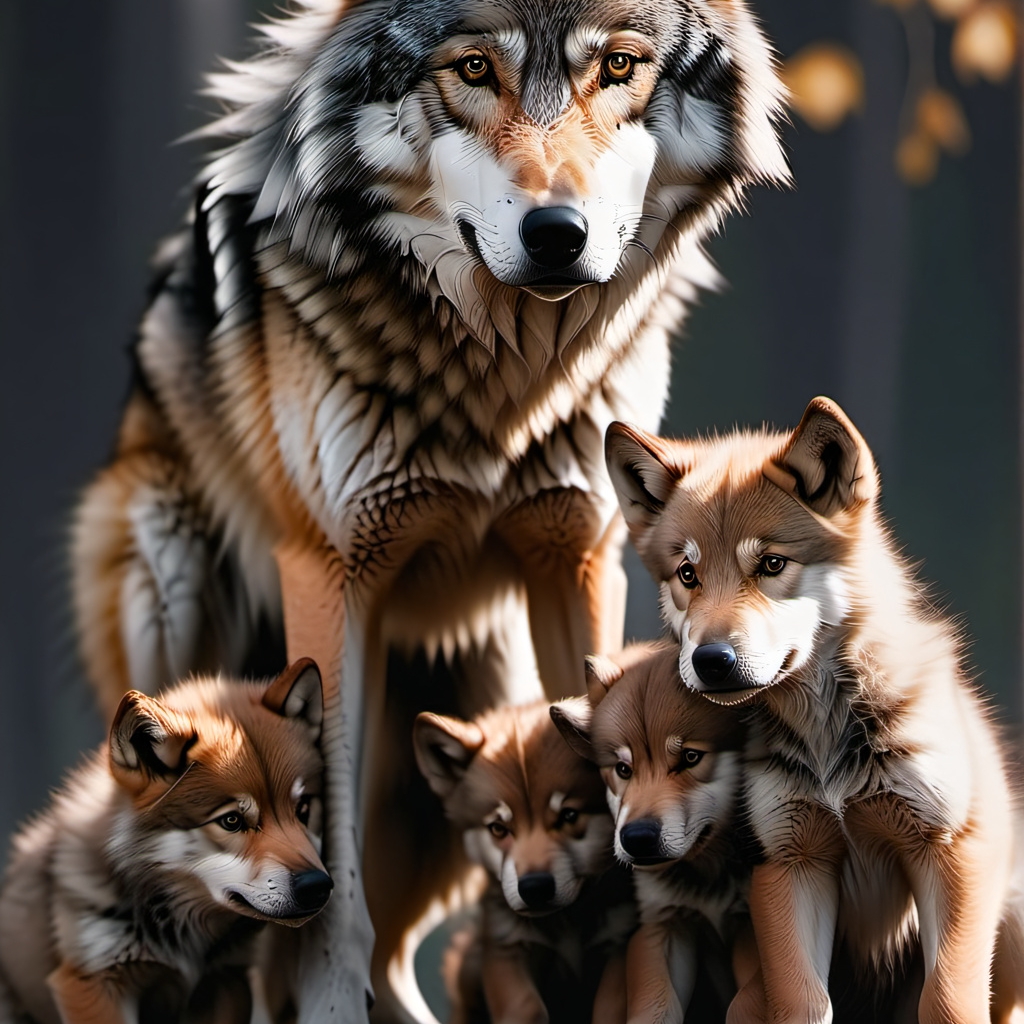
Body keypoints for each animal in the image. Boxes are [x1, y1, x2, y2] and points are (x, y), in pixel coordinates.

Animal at [413, 699, 634, 1024]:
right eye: (498, 828)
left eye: (569, 815)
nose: (534, 887)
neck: (566, 924)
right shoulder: (505, 947)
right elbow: (526, 1006)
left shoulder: (619, 942)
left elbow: (610, 1008)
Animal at [553, 642, 751, 1024]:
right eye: (622, 769)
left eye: (690, 757)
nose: (637, 839)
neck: (707, 877)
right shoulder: (662, 926)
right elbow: (656, 1006)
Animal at [603, 397, 1019, 1024]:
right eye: (687, 575)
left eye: (772, 564)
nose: (710, 660)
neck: (829, 740)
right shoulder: (790, 868)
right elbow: (801, 1002)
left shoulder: (949, 853)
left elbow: (947, 1001)